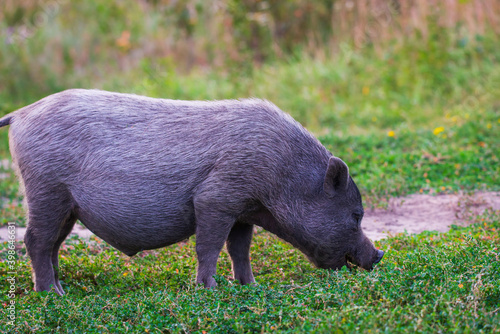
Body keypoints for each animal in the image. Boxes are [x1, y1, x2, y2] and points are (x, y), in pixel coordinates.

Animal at [0, 89, 384, 294]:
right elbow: (209, 247)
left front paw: (250, 287)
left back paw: (60, 288)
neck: (282, 175)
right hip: (46, 189)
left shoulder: (243, 211)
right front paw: (209, 289)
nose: (379, 255)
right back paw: (51, 294)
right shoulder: (217, 197)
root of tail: (21, 112)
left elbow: (239, 249)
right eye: (356, 215)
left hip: (65, 205)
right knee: (35, 240)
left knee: (53, 244)